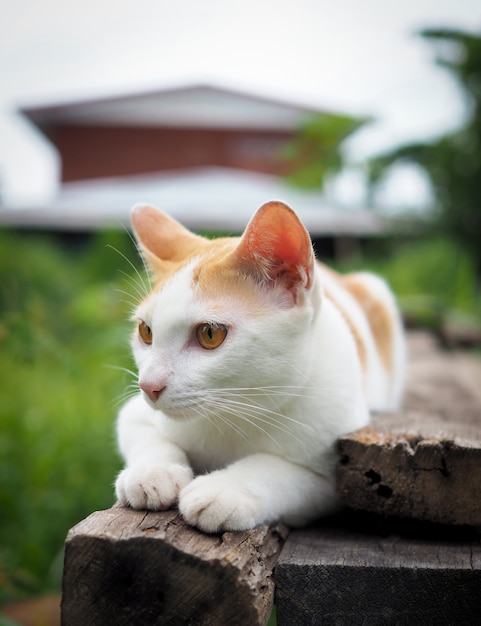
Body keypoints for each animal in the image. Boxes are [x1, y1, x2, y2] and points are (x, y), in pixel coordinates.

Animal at [114, 201, 404, 532]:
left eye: (209, 334)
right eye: (146, 331)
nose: (148, 385)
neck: (235, 413)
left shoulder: (342, 475)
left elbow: (277, 471)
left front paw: (224, 490)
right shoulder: (134, 413)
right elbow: (146, 436)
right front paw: (152, 473)